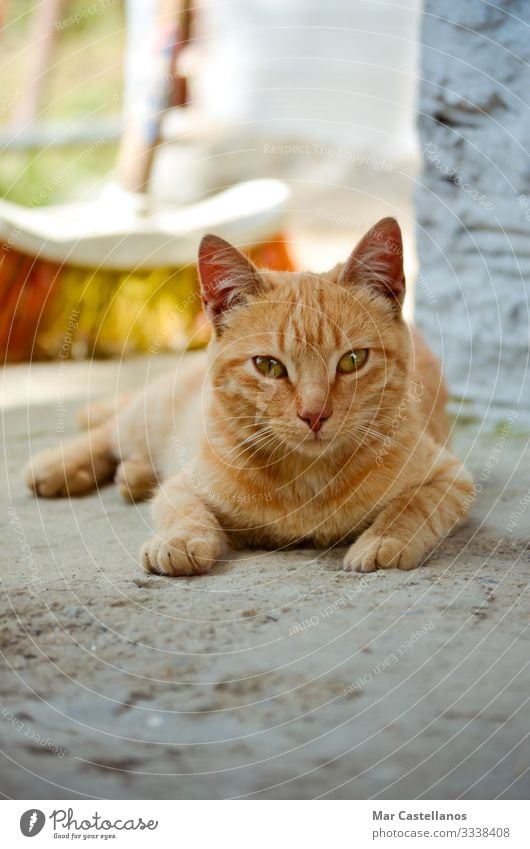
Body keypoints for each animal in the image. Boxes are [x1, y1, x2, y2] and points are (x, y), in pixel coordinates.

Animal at [24, 219, 472, 576]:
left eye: (353, 360)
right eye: (269, 366)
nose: (314, 414)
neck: (306, 481)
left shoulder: (450, 476)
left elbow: (412, 507)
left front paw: (383, 540)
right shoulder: (185, 484)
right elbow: (186, 510)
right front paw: (180, 541)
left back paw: (131, 477)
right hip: (150, 416)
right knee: (110, 432)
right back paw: (59, 466)